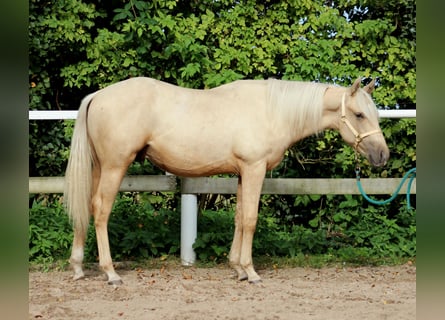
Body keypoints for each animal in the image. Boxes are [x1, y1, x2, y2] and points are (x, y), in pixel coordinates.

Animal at [64, 76, 386, 284]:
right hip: (115, 166)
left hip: (99, 168)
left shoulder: (243, 173)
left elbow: (239, 217)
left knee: (87, 207)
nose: (383, 155)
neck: (272, 111)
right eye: (359, 114)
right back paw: (110, 273)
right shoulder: (255, 169)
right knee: (101, 210)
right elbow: (251, 220)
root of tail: (97, 96)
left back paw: (78, 267)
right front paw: (251, 272)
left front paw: (237, 268)